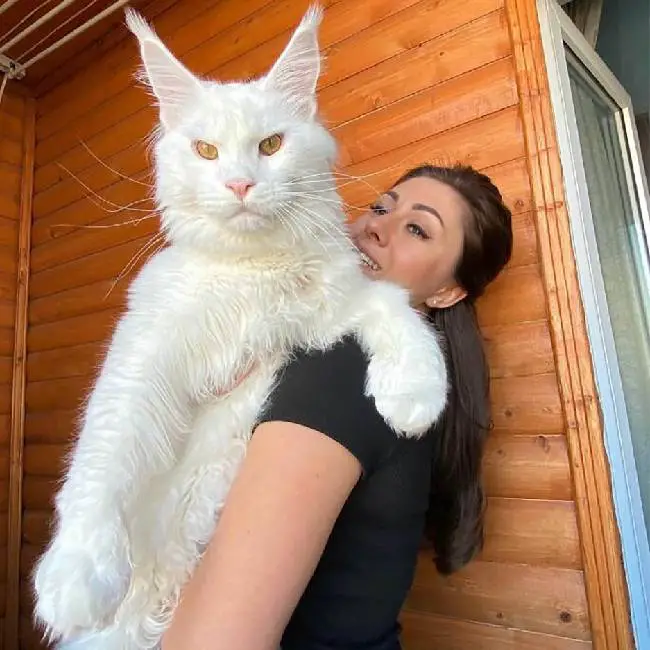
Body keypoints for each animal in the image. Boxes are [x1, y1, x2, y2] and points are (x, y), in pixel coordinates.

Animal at [30, 6, 446, 648]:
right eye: (205, 150)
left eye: (270, 145)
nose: (240, 185)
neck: (253, 275)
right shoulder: (146, 348)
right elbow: (105, 451)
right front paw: (76, 570)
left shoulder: (328, 308)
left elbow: (392, 306)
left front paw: (415, 392)